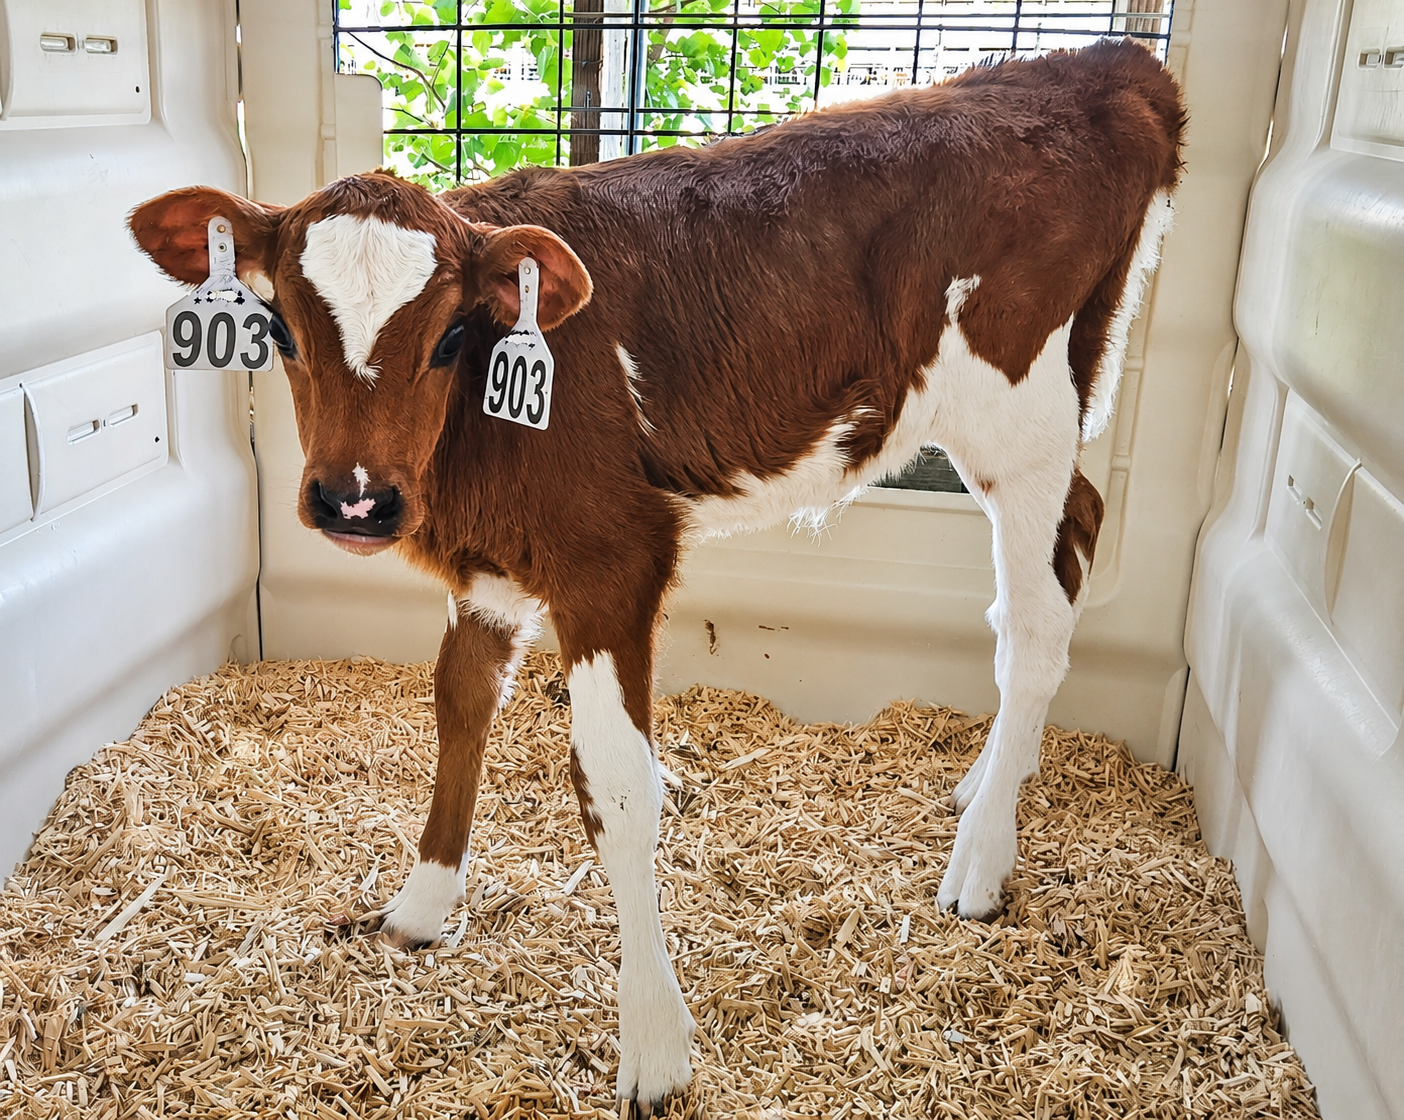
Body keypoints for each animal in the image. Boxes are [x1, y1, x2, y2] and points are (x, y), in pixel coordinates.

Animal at [130, 37, 1184, 1113]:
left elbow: (616, 787)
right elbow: (460, 706)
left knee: (1036, 623)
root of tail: (1099, 64)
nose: (354, 500)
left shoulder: (612, 558)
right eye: (282, 333)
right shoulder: (495, 563)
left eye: (450, 338)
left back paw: (982, 860)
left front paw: (653, 1043)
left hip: (1019, 414)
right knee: (1075, 535)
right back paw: (984, 785)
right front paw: (421, 905)